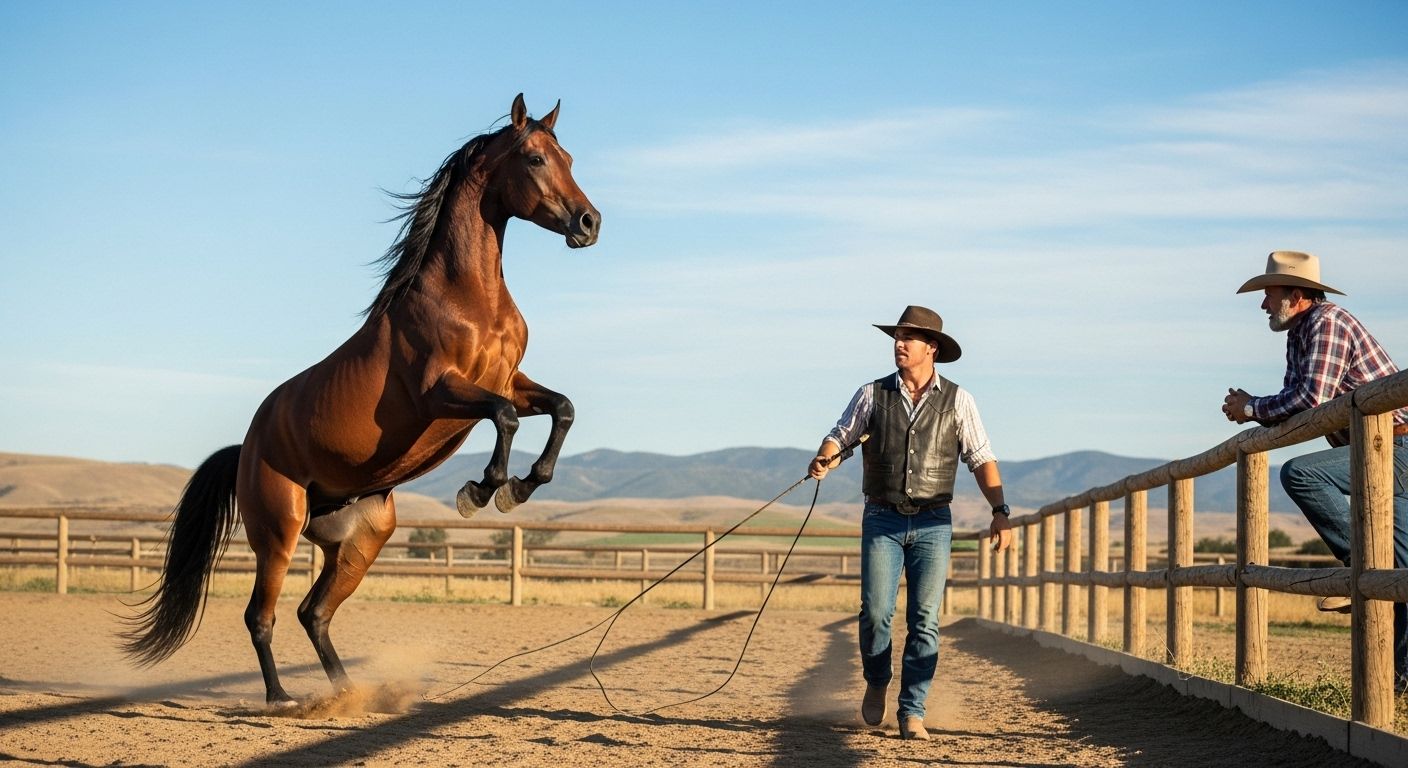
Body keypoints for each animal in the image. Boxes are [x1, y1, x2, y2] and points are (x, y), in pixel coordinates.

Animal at [120, 93, 600, 706]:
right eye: (536, 158)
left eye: (569, 157)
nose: (589, 223)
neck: (469, 297)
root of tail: (245, 448)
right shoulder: (438, 392)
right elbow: (506, 417)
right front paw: (482, 490)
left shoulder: (509, 378)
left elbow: (560, 407)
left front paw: (522, 486)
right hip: (278, 535)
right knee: (261, 616)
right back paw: (282, 699)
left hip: (360, 542)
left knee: (313, 612)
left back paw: (350, 693)